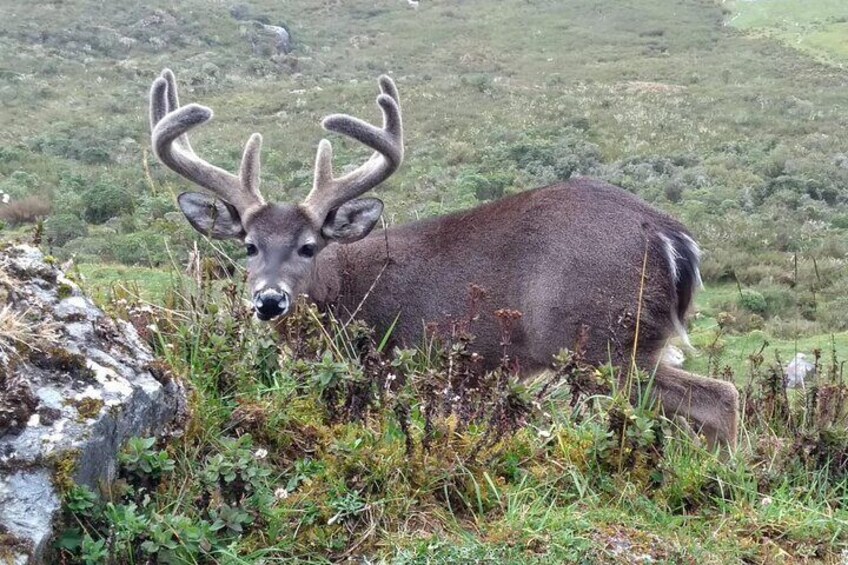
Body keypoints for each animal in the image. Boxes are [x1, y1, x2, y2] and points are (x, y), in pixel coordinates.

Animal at [149, 69, 740, 446]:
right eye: (248, 245)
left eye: (309, 246)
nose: (269, 301)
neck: (345, 292)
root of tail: (669, 235)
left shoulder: (400, 360)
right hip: (633, 343)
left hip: (602, 341)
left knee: (722, 397)